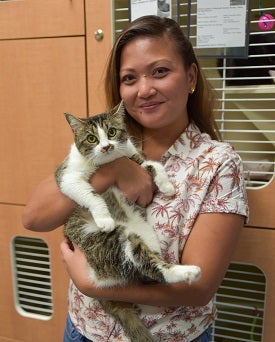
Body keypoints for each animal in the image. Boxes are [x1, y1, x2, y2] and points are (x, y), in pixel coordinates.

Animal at [56, 102, 202, 342]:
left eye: (112, 132)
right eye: (91, 138)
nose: (106, 147)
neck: (108, 162)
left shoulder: (132, 156)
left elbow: (152, 165)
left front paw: (167, 186)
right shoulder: (68, 177)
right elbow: (90, 194)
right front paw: (104, 218)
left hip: (145, 237)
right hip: (113, 244)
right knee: (150, 268)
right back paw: (188, 272)